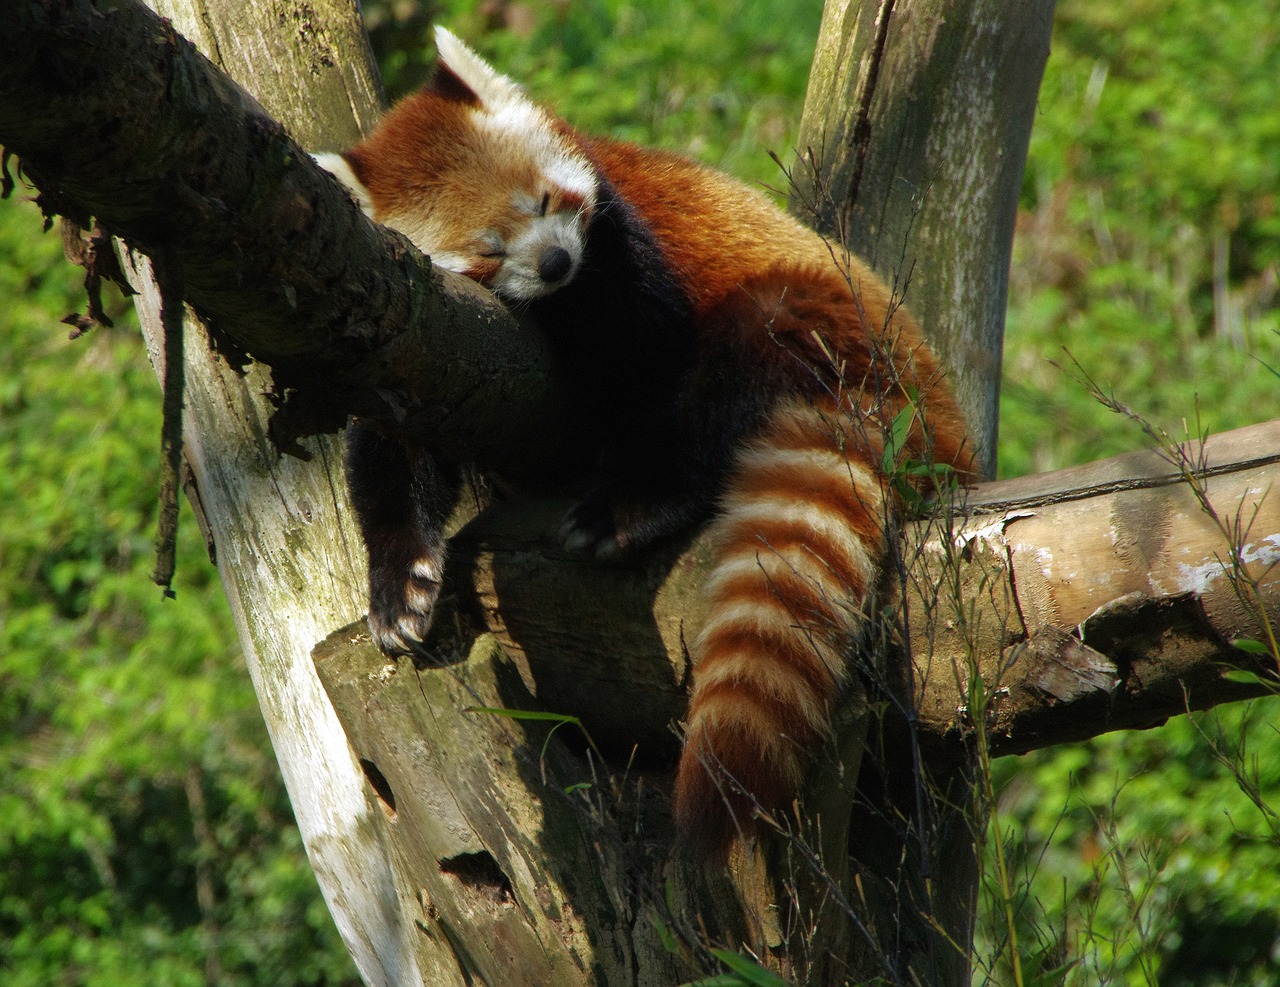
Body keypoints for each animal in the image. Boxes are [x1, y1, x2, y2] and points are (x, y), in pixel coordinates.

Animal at [317, 27, 967, 860]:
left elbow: (641, 345)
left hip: (813, 317)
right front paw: (401, 586)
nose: (556, 262)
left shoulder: (629, 246)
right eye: (489, 248)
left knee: (718, 387)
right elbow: (393, 456)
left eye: (545, 201)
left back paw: (632, 503)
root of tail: (927, 399)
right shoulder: (416, 343)